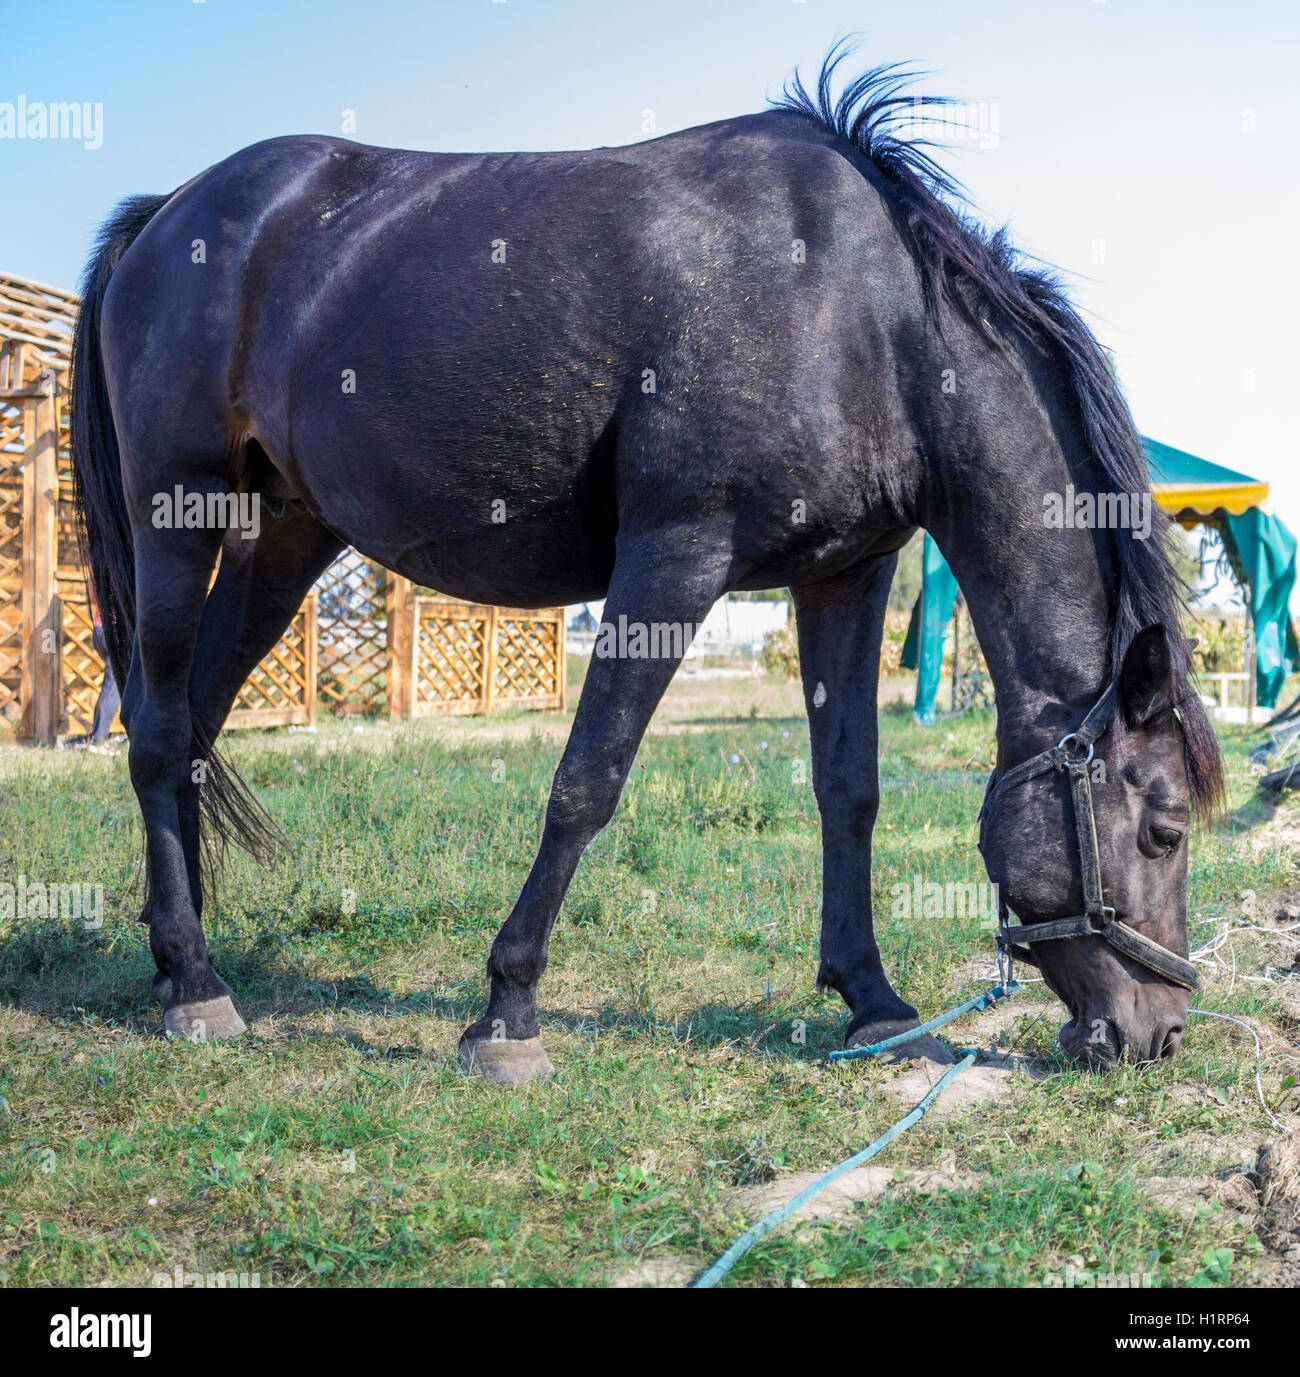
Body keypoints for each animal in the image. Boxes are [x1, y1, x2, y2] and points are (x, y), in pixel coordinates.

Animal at [73, 53, 1217, 1079]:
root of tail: (169, 215)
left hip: (285, 536)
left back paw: (178, 958)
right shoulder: (674, 558)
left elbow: (848, 786)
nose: (1158, 1033)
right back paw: (195, 983)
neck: (858, 314)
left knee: (196, 726)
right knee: (160, 730)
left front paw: (874, 1003)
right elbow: (588, 780)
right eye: (1163, 829)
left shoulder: (846, 576)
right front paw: (507, 1010)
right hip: (178, 516)